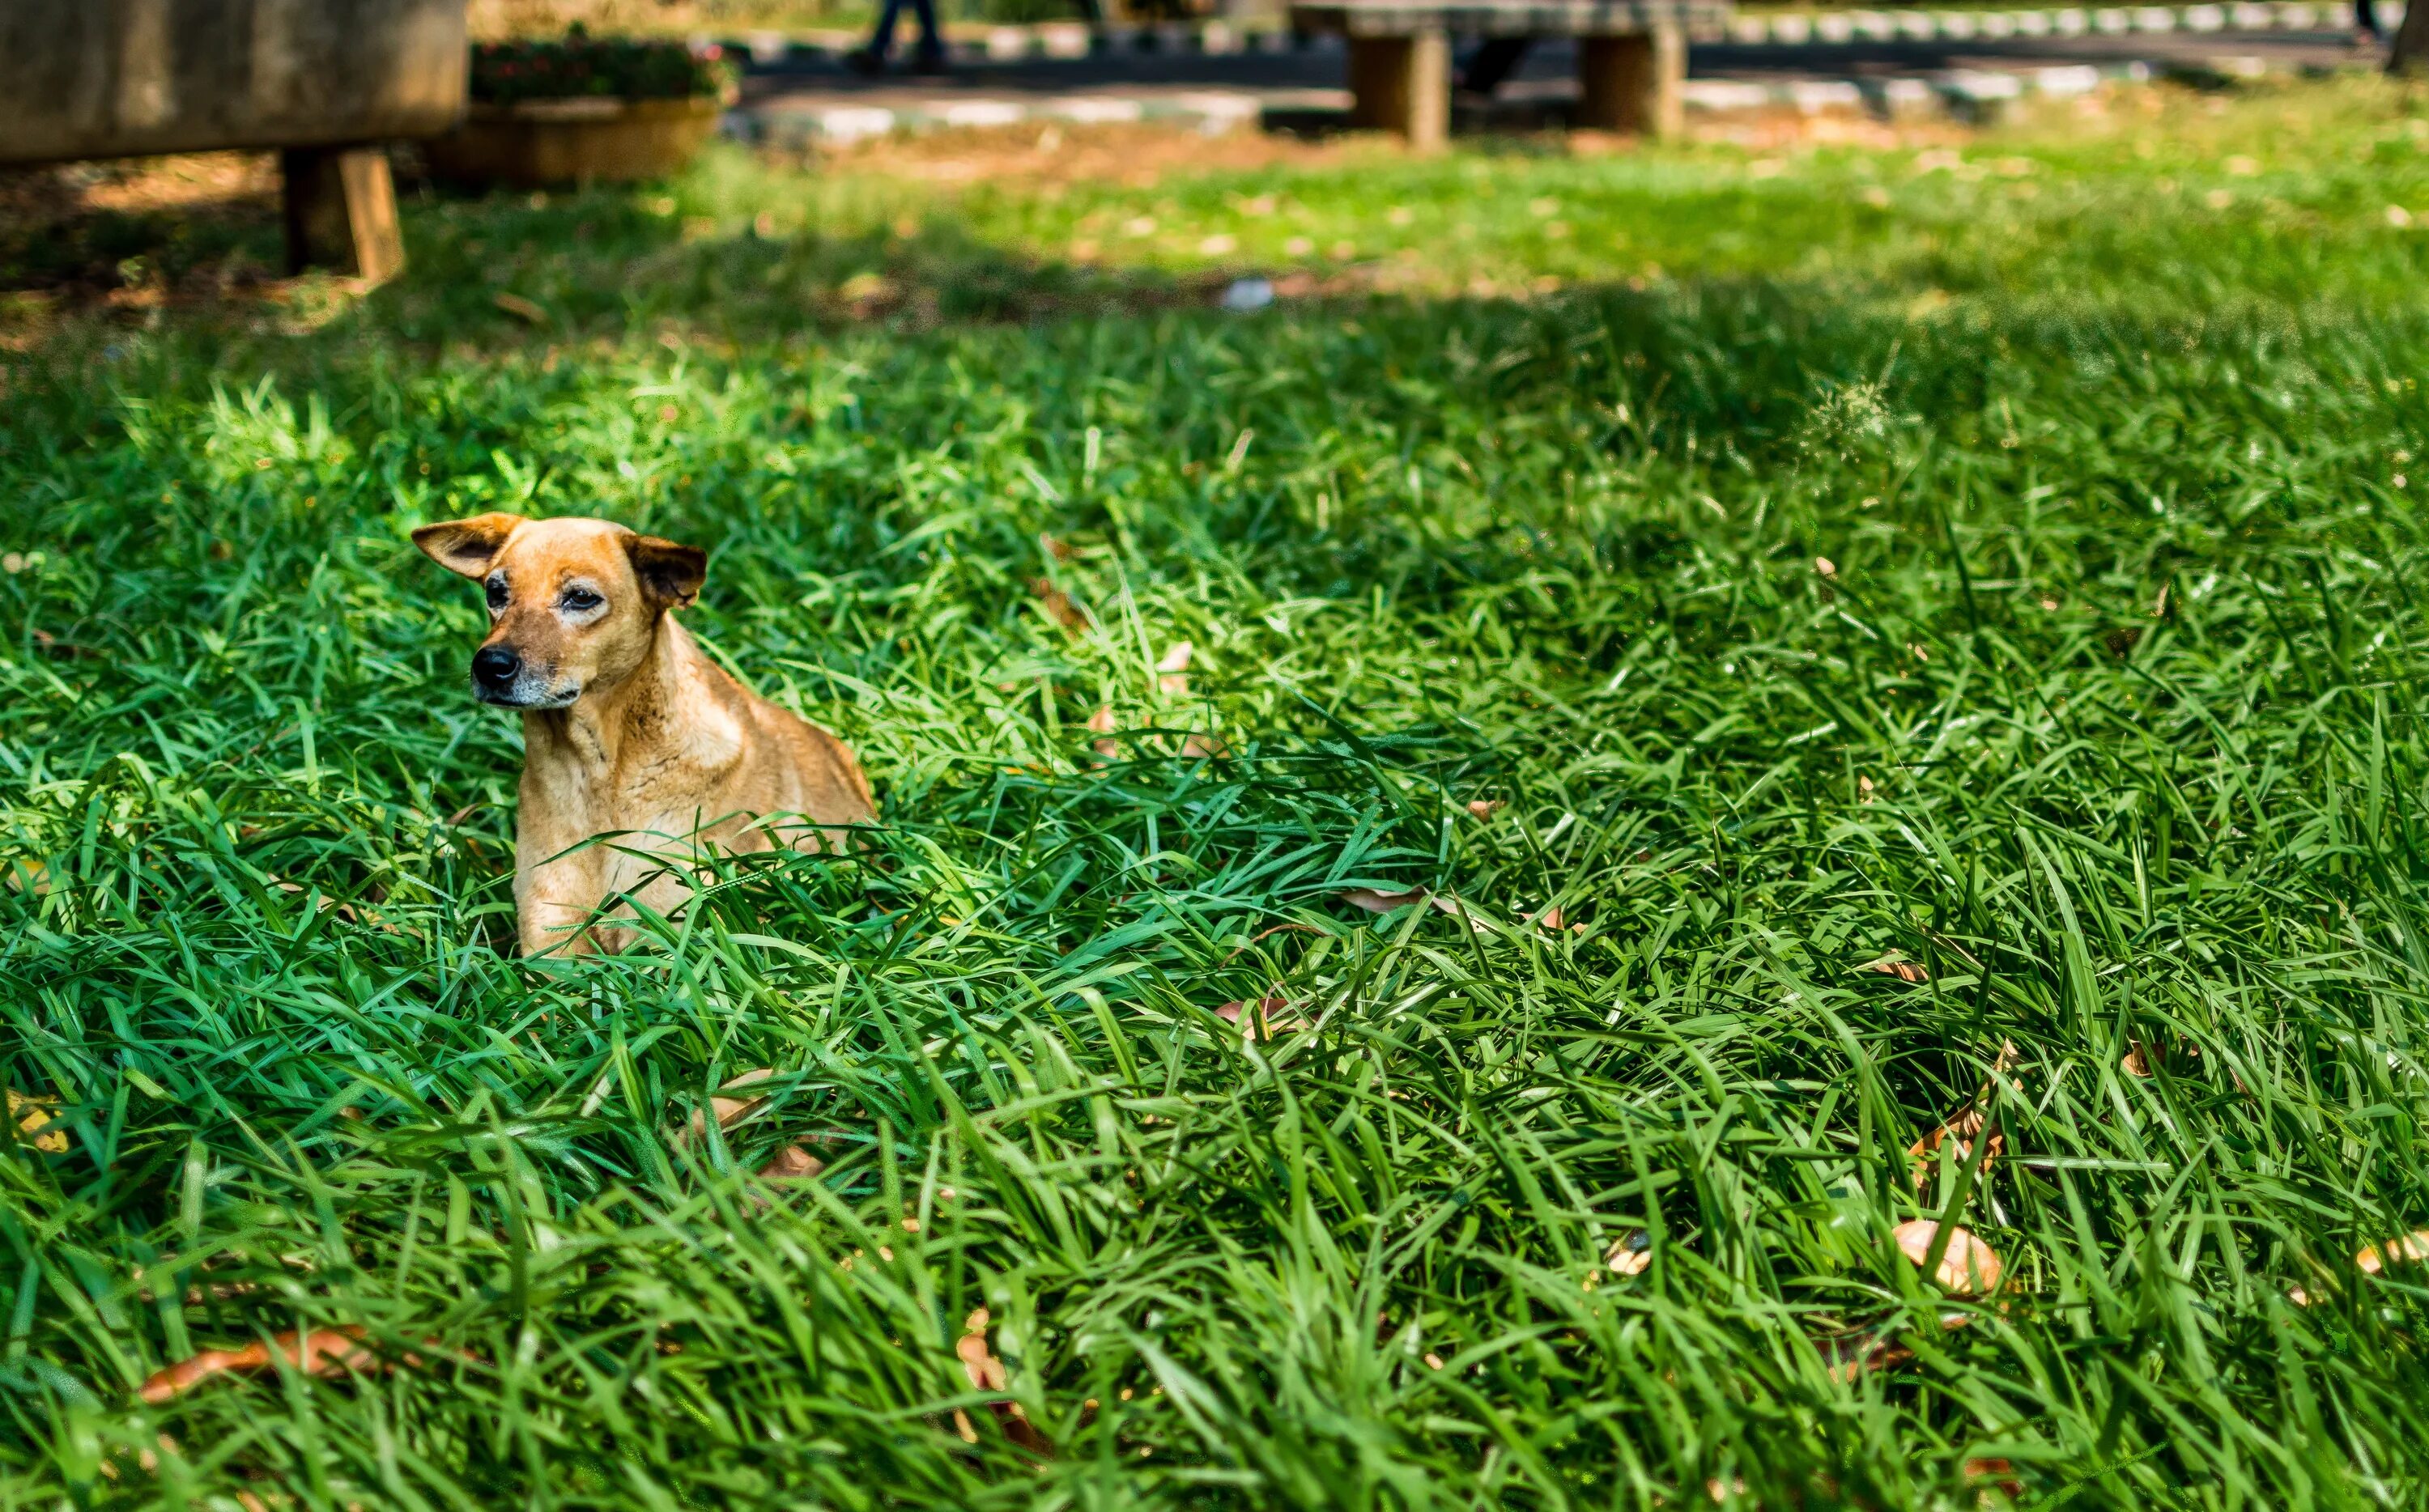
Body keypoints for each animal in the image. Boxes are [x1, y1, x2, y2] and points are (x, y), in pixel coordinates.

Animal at [415, 514, 874, 951]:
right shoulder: (550, 938)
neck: (599, 774)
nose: (489, 665)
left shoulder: (670, 937)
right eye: (496, 592)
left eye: (581, 597)